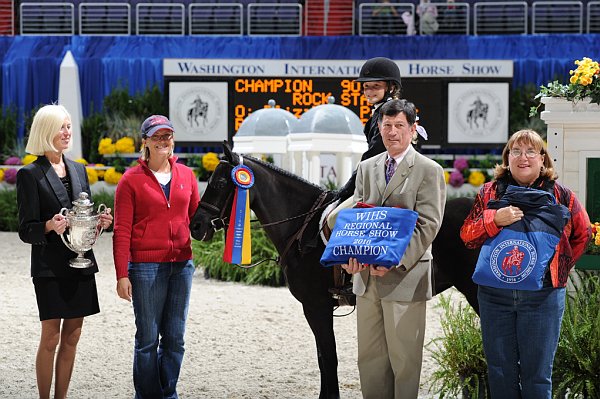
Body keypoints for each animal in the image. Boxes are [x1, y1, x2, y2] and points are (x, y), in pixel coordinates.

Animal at [190, 146, 480, 399]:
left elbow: (328, 356)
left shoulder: (315, 305)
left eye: (219, 184)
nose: (196, 226)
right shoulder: (316, 307)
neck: (301, 225)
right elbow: (322, 356)